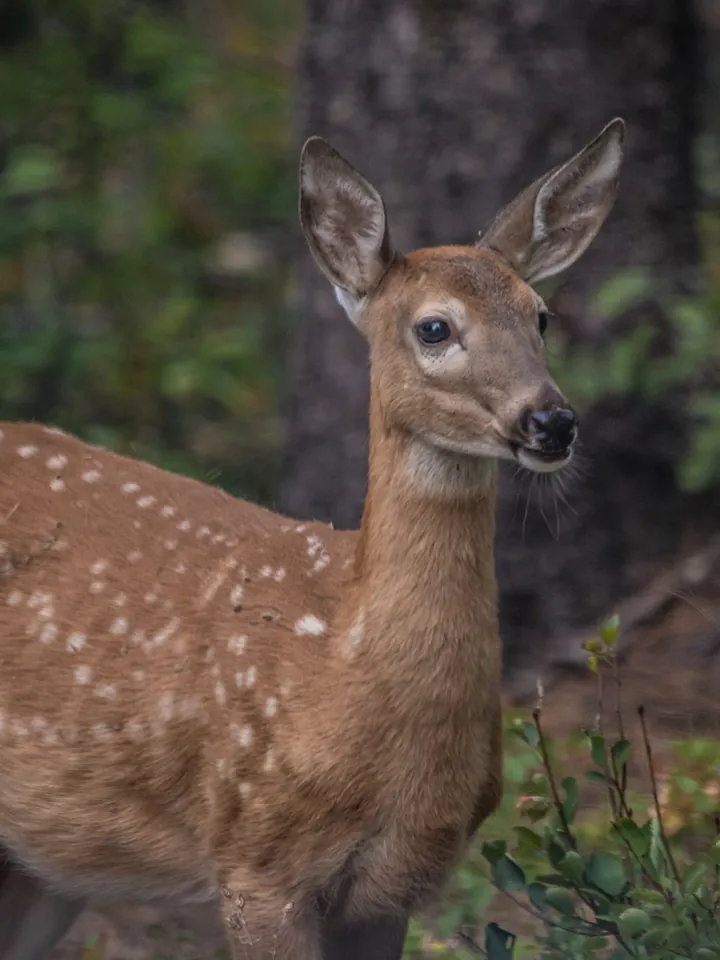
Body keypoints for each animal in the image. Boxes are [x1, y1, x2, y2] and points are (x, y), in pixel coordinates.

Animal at [0, 117, 624, 960]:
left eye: (541, 316)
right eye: (434, 327)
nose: (552, 421)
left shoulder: (396, 883)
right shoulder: (257, 856)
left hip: (46, 866)